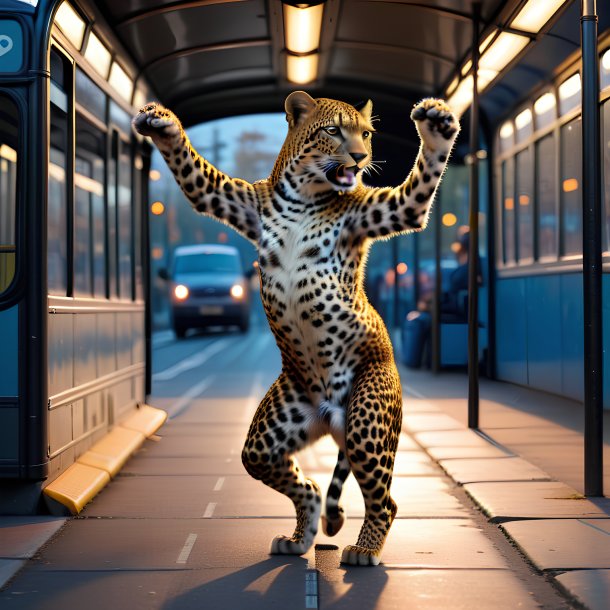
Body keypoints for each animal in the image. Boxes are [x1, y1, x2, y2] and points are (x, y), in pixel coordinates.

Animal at [132, 92, 456, 564]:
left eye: (366, 134)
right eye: (333, 131)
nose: (360, 158)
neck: (307, 195)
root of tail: (331, 417)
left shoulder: (381, 209)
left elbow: (417, 189)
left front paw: (437, 125)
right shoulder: (237, 200)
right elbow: (198, 175)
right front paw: (162, 123)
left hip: (367, 416)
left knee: (387, 500)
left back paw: (365, 548)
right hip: (278, 424)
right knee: (296, 478)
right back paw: (301, 536)